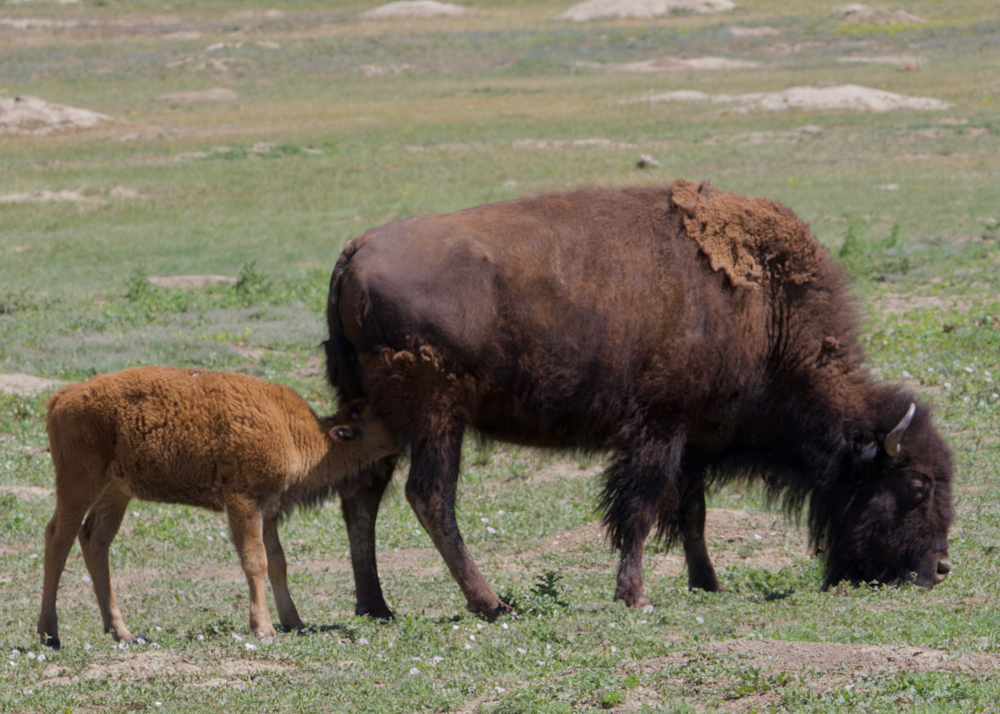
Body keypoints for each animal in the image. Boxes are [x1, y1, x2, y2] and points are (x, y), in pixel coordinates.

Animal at [326, 179, 954, 620]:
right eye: (916, 486)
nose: (939, 567)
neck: (767, 312)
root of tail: (354, 249)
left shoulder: (693, 439)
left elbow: (692, 513)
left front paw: (708, 584)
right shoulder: (659, 427)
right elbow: (642, 509)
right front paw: (636, 596)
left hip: (375, 415)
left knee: (362, 495)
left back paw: (376, 606)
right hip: (438, 418)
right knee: (430, 496)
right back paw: (492, 604)